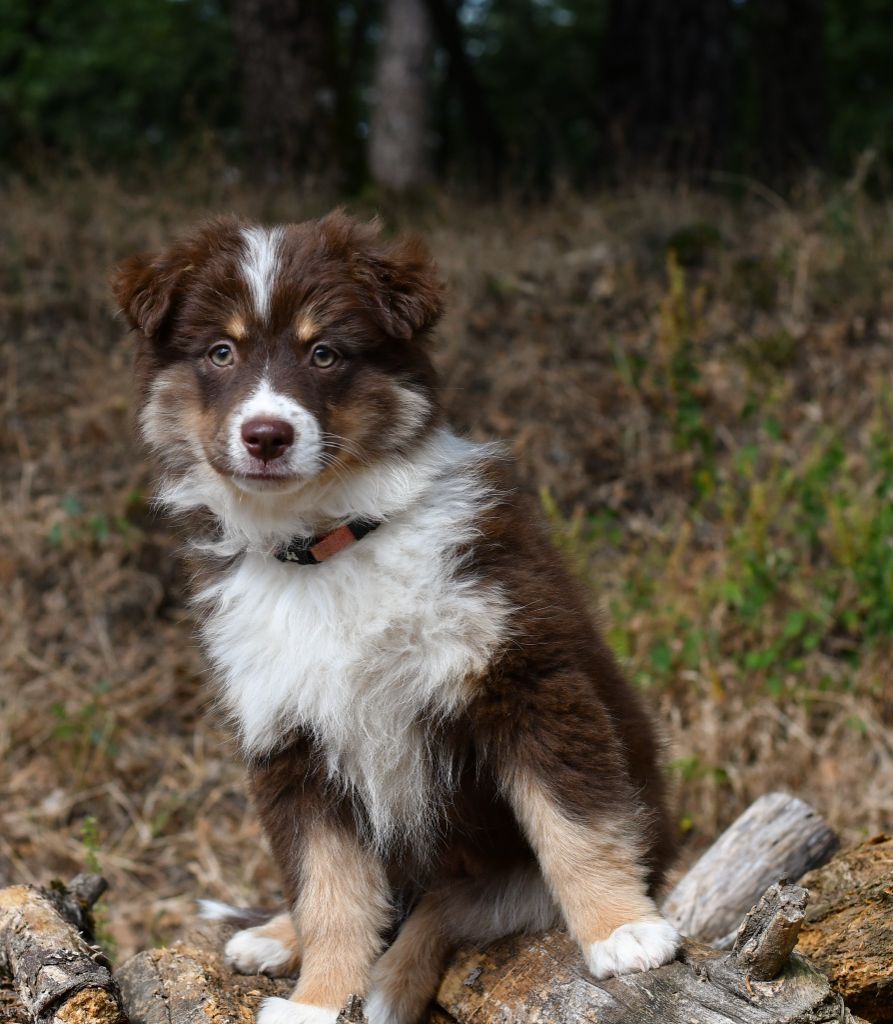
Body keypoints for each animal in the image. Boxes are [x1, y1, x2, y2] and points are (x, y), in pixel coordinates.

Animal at [113, 211, 680, 1024]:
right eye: (221, 352)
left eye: (324, 352)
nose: (265, 435)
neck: (327, 544)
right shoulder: (289, 739)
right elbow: (327, 889)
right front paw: (318, 1001)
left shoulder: (523, 674)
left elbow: (575, 822)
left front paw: (621, 931)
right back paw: (278, 937)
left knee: (448, 905)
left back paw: (388, 983)